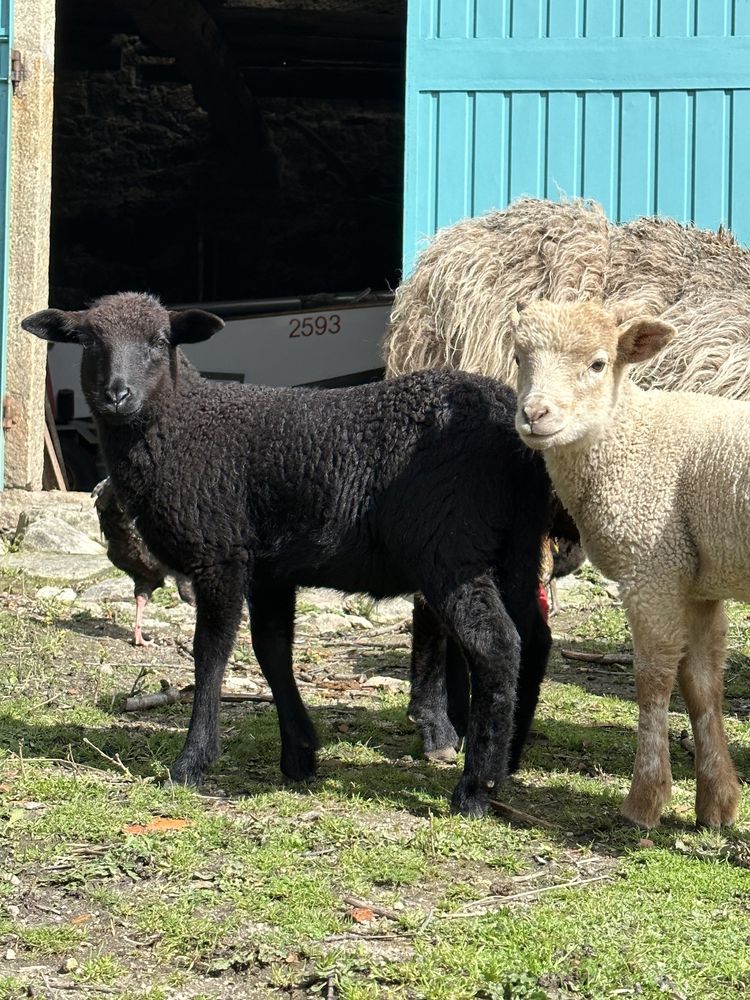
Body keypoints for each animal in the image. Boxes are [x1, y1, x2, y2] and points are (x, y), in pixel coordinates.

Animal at [516, 298, 748, 828]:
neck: (632, 436)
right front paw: (718, 803)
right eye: (519, 358)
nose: (534, 413)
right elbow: (702, 683)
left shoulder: (652, 568)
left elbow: (653, 680)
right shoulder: (695, 579)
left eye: (599, 364)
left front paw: (645, 800)